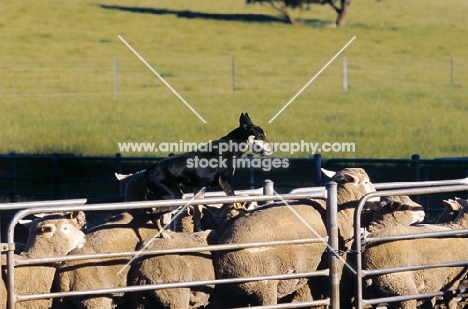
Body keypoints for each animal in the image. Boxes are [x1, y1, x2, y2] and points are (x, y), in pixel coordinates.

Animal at [144, 112, 272, 230]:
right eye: (260, 136)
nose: (273, 147)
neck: (232, 146)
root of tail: (148, 172)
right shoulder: (224, 181)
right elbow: (237, 202)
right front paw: (245, 214)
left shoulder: (199, 188)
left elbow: (197, 213)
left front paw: (199, 232)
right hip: (175, 196)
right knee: (153, 215)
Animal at [214, 168, 378, 306]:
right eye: (366, 182)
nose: (376, 200)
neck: (339, 207)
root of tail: (224, 265)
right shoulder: (339, 256)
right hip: (264, 284)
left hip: (237, 294)